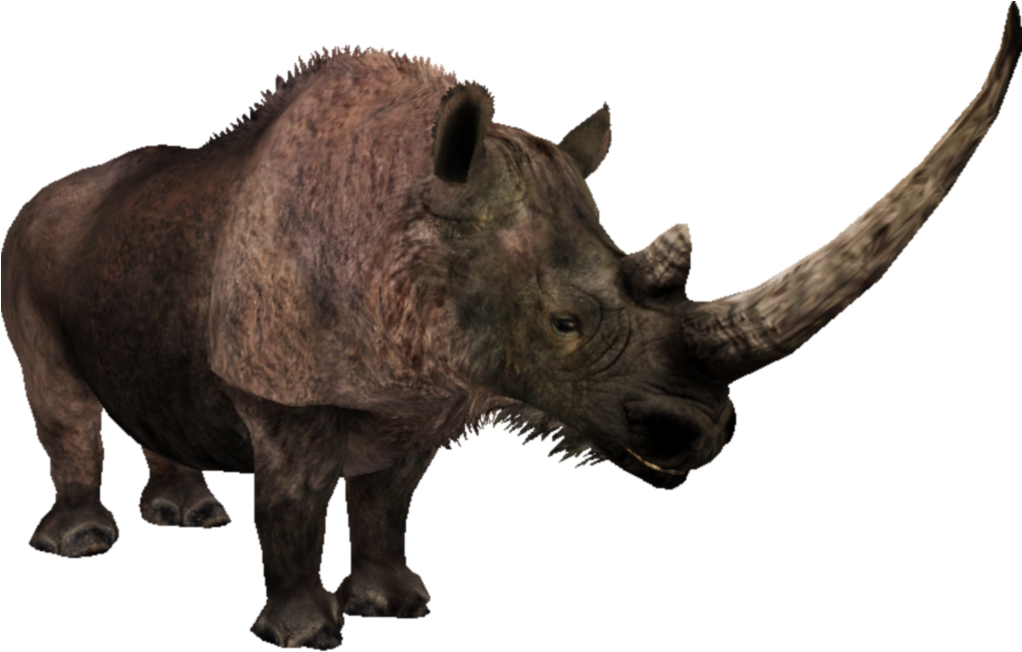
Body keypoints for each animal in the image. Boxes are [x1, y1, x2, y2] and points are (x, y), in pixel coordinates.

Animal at [3, 4, 1019, 648]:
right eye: (566, 323)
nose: (698, 436)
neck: (404, 215)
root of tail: (45, 192)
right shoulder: (283, 388)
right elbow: (293, 504)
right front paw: (303, 635)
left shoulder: (420, 394)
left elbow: (388, 501)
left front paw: (394, 606)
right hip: (28, 241)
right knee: (61, 399)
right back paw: (83, 544)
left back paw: (188, 517)